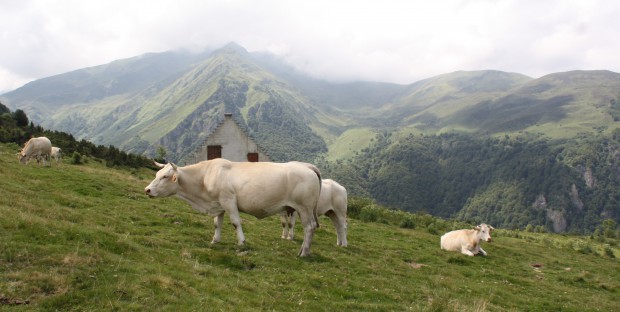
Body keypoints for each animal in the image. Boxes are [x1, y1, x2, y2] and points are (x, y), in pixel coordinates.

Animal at [143, 160, 322, 258]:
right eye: (157, 173)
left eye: (165, 176)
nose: (147, 190)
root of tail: (307, 166)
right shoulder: (219, 204)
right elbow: (217, 223)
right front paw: (215, 240)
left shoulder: (228, 200)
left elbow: (236, 222)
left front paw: (242, 242)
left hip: (304, 208)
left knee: (309, 227)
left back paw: (304, 252)